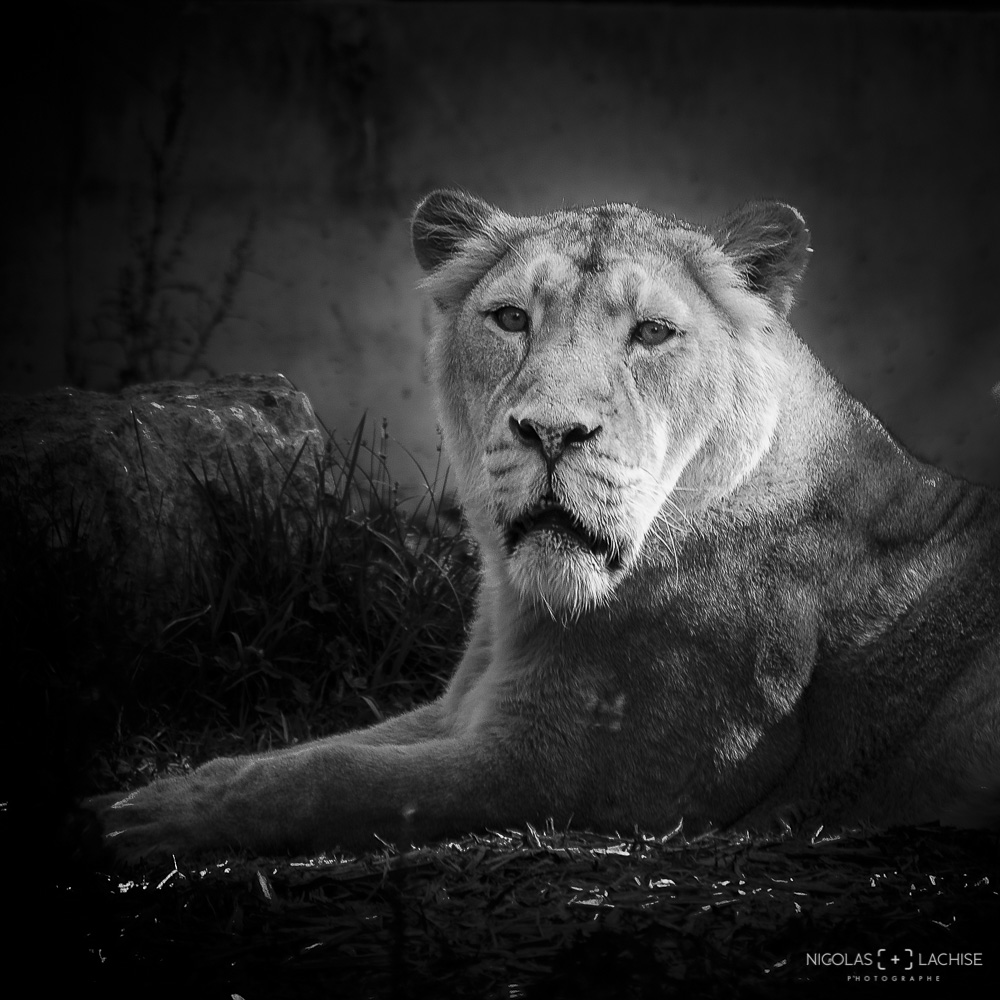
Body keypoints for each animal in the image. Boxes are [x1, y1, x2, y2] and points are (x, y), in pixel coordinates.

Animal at [88, 190, 1000, 860]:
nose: (553, 433)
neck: (524, 603)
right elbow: (308, 749)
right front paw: (148, 790)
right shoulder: (465, 708)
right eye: (511, 319)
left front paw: (139, 822)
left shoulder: (567, 772)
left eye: (653, 332)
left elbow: (340, 776)